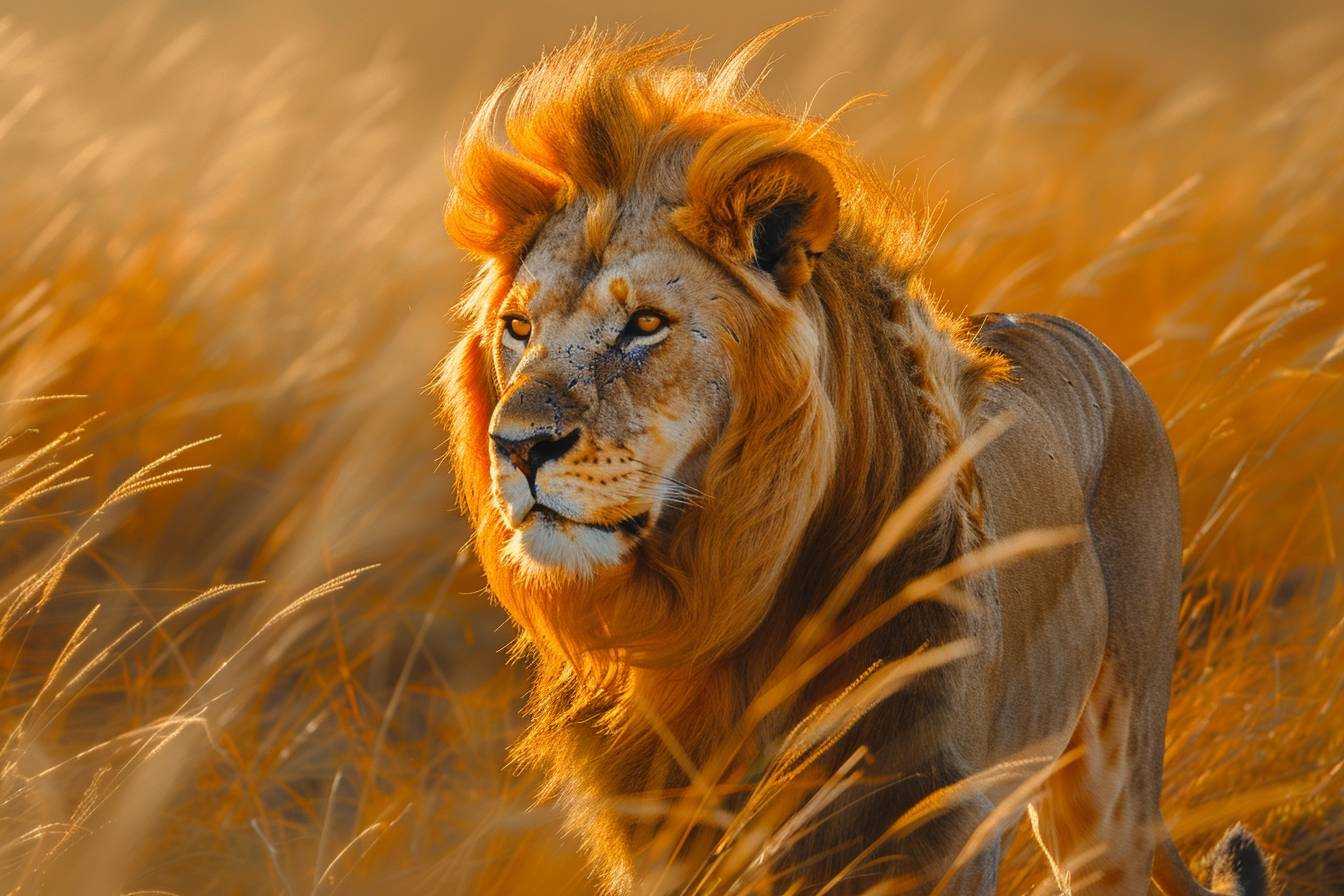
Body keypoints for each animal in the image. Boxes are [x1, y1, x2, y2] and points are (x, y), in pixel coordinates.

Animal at [437, 27, 1270, 896]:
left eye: (646, 324)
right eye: (519, 328)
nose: (517, 444)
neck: (718, 614)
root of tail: (1086, 337)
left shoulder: (935, 828)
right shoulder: (667, 847)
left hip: (1111, 782)